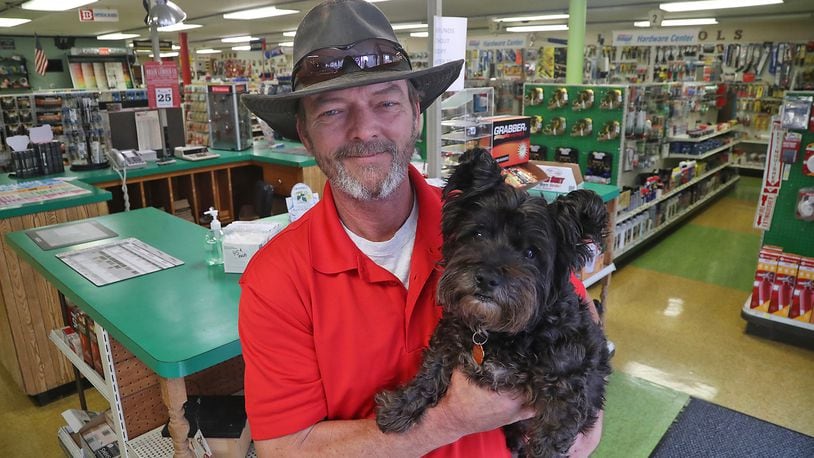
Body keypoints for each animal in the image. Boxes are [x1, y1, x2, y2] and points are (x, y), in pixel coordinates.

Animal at [376, 149, 612, 454]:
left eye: (531, 252)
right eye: (478, 233)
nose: (487, 278)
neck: (497, 333)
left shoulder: (564, 394)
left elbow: (548, 443)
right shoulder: (449, 336)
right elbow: (430, 371)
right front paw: (401, 405)